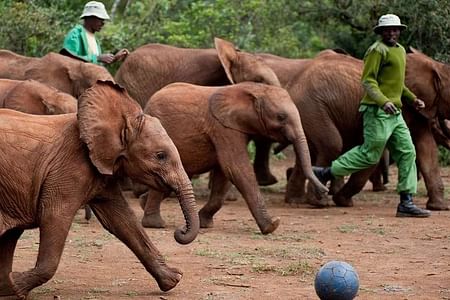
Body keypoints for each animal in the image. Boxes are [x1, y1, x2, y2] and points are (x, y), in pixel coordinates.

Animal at [0, 79, 199, 298]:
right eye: (160, 155)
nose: (179, 232)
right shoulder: (69, 168)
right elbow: (54, 216)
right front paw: (16, 286)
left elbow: (122, 221)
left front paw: (173, 280)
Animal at [139, 81, 328, 234]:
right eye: (281, 117)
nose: (324, 192)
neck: (253, 89)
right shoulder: (223, 128)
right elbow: (235, 168)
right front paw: (272, 225)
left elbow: (224, 174)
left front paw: (204, 223)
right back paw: (154, 224)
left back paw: (142, 203)